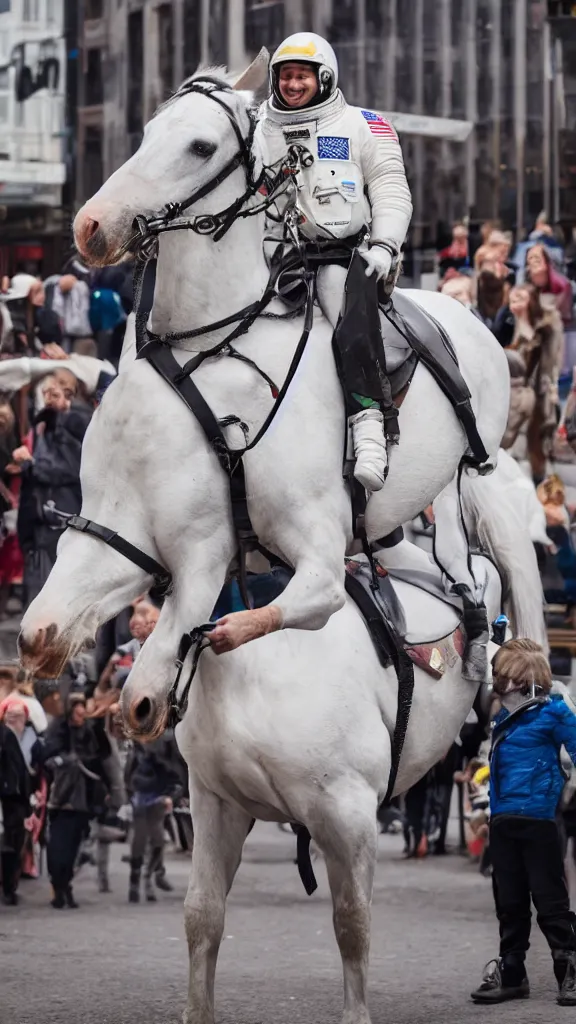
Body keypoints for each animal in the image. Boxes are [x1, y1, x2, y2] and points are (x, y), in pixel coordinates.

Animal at [57, 64, 520, 655]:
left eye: (201, 146)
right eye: (147, 133)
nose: (91, 227)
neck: (212, 339)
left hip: (460, 475)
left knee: (459, 554)